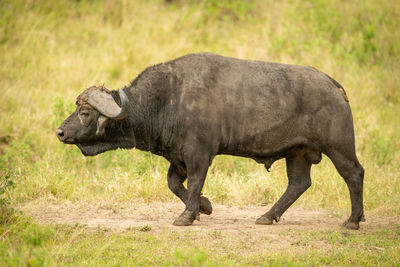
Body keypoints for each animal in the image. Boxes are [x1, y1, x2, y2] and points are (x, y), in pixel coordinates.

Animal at [57, 52, 366, 230]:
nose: (60, 132)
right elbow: (174, 184)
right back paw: (267, 216)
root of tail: (332, 84)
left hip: (339, 147)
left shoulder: (199, 154)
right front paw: (203, 207)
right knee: (299, 184)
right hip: (298, 154)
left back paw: (353, 220)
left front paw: (186, 216)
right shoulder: (178, 157)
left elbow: (194, 183)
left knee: (354, 174)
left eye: (85, 112)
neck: (168, 99)